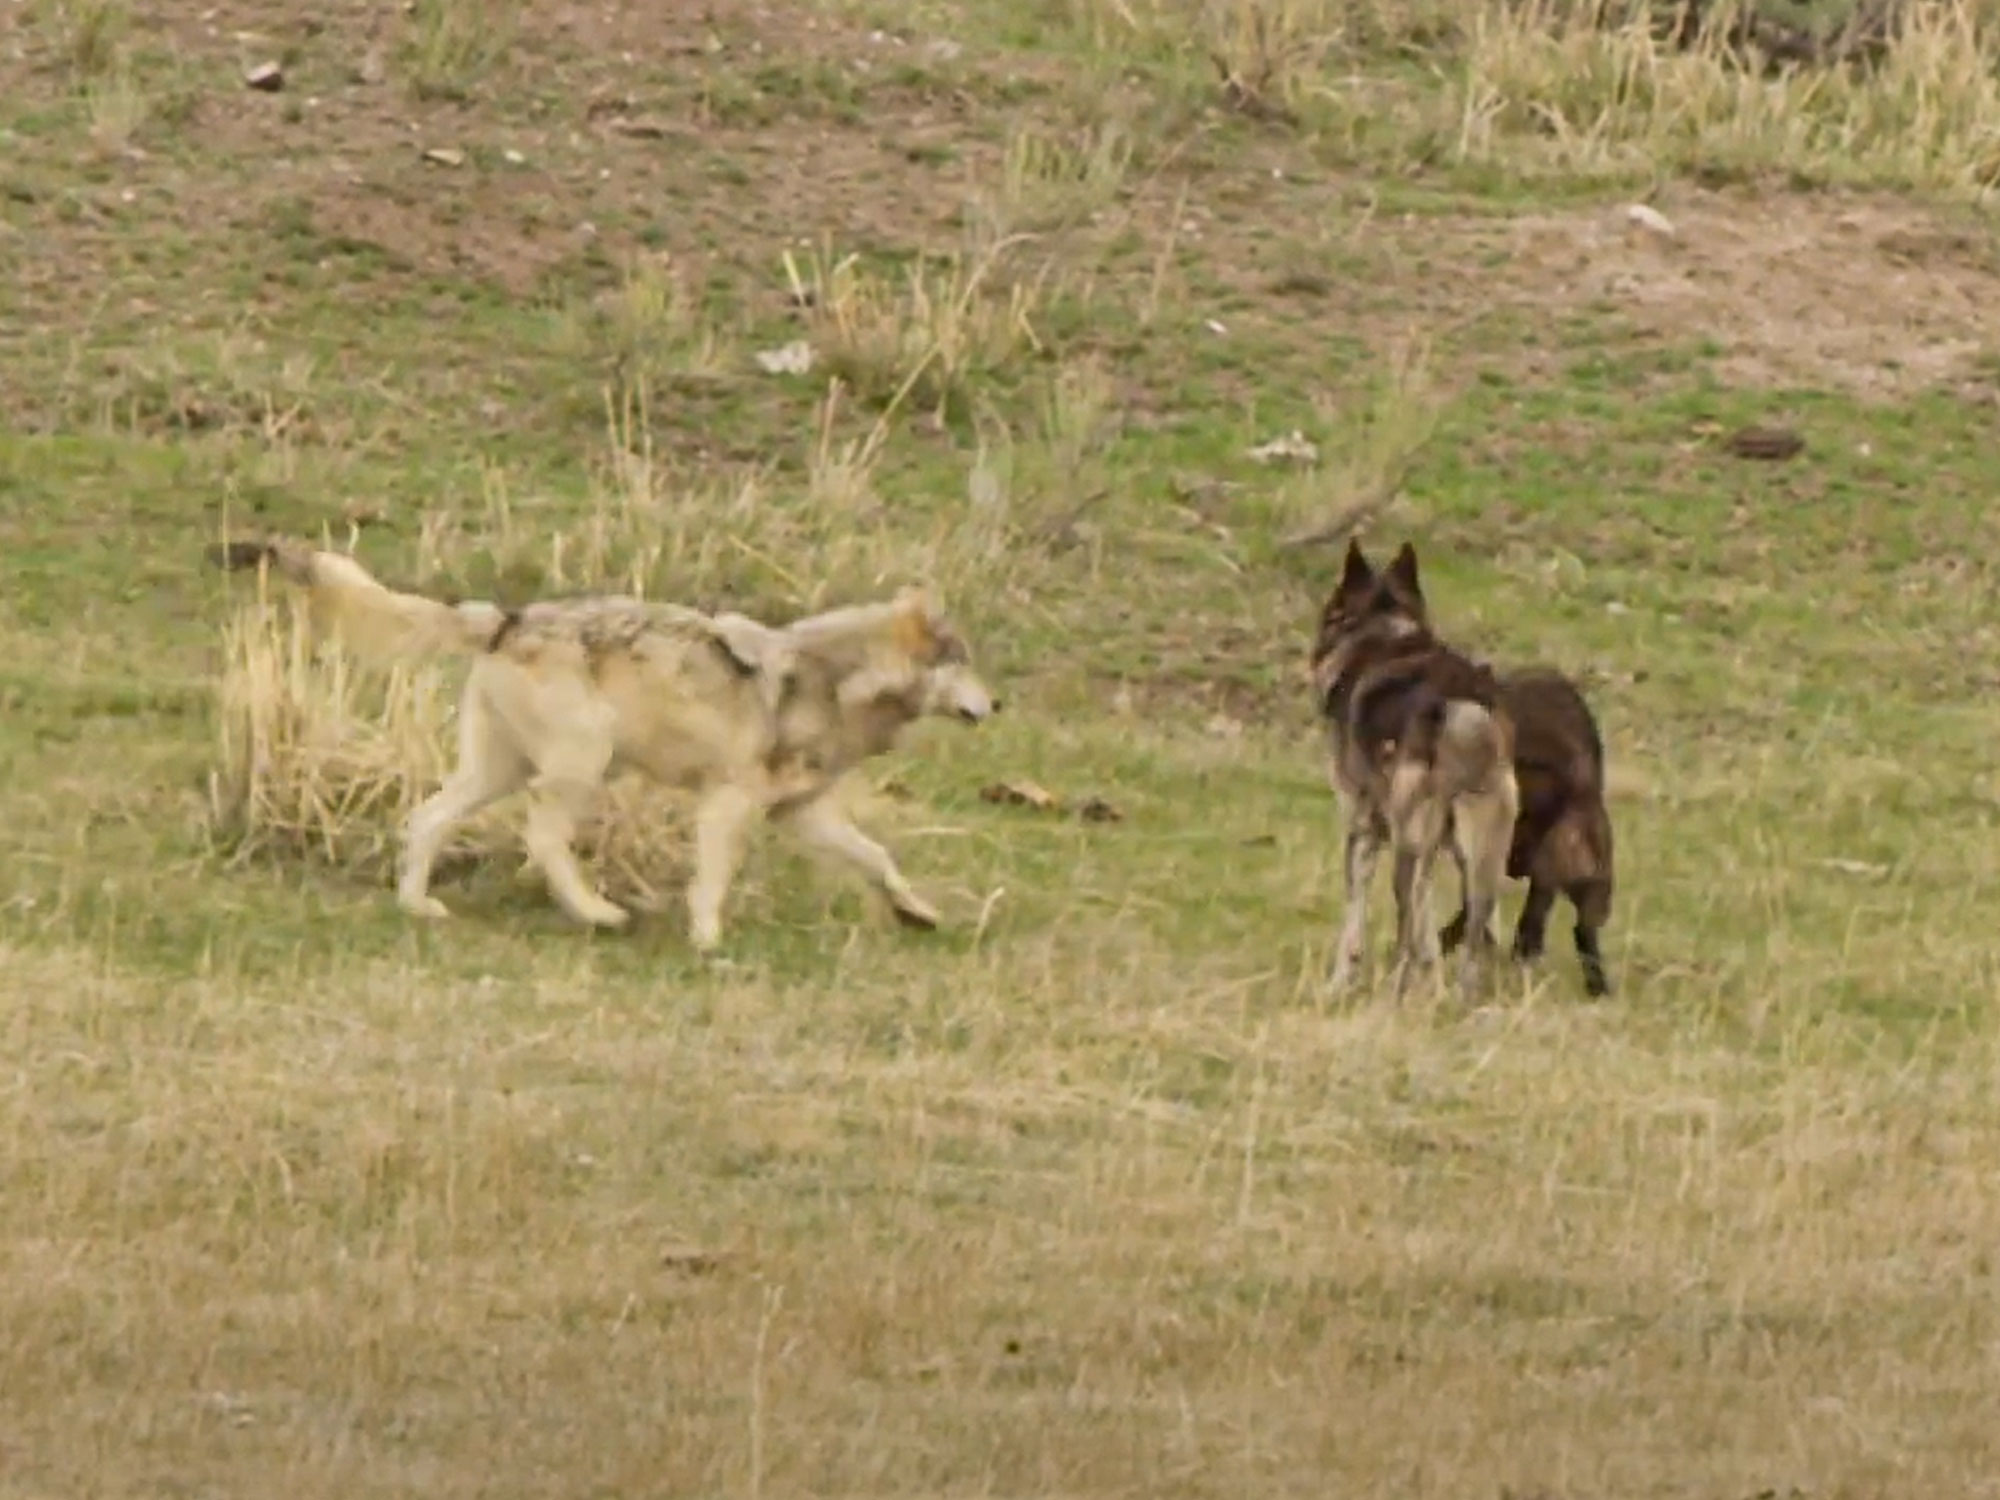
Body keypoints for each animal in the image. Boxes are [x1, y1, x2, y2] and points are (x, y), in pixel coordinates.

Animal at [207, 537, 1000, 950]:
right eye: (964, 663)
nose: (997, 704)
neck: (836, 682)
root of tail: (506, 617)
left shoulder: (804, 813)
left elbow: (880, 859)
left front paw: (918, 913)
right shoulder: (728, 804)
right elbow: (712, 880)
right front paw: (708, 941)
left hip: (497, 774)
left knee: (425, 819)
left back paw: (418, 908)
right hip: (580, 769)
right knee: (540, 838)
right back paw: (596, 914)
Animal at [1310, 539, 1519, 999]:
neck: (1382, 632)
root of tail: (1461, 704)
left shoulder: (1363, 830)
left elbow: (1355, 922)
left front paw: (1338, 984)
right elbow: (1439, 929)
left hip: (1408, 843)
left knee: (1408, 925)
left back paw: (1399, 991)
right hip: (1484, 852)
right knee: (1478, 928)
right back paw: (1463, 996)